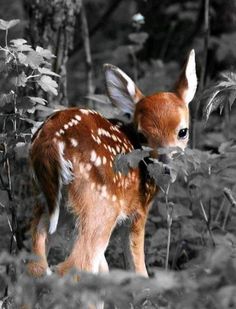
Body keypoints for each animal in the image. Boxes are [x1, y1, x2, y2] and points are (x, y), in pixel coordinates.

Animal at [27, 49, 197, 276]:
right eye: (142, 136)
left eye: (182, 131)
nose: (165, 167)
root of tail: (51, 141)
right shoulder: (138, 211)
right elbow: (137, 267)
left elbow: (104, 266)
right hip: (101, 203)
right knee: (75, 266)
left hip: (46, 201)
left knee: (36, 264)